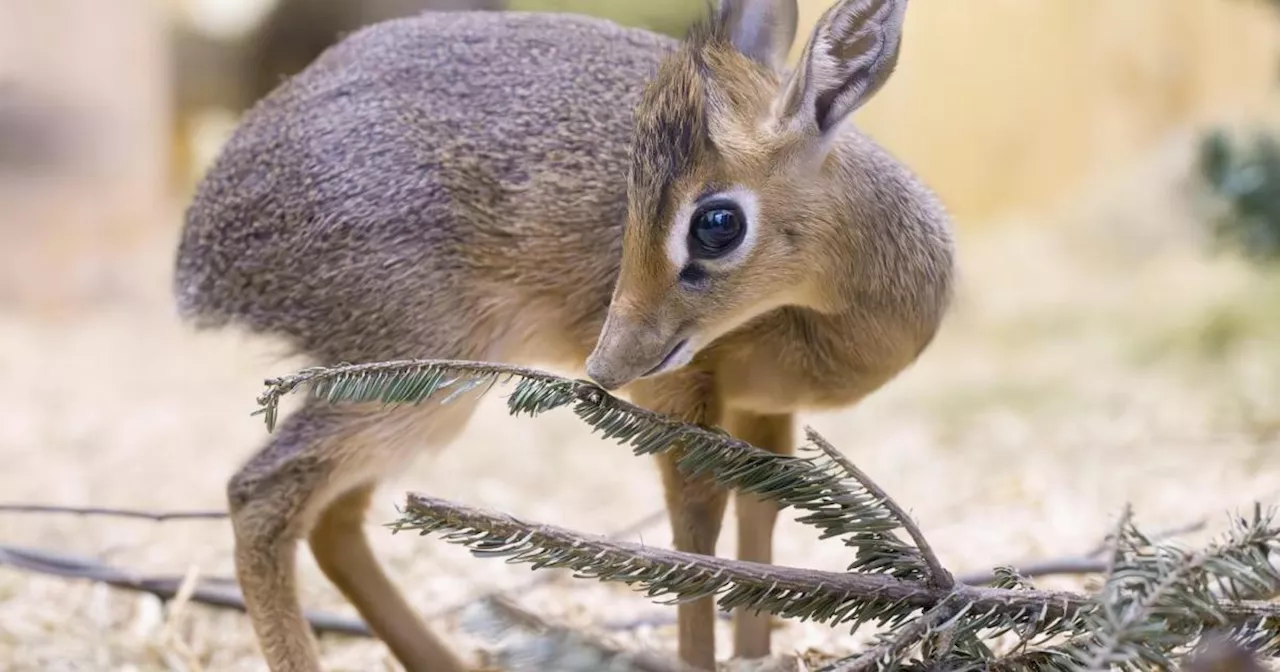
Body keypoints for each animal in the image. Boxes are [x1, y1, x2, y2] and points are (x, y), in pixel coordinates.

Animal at [172, 1, 952, 670]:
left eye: (716, 223)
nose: (606, 363)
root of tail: (201, 247)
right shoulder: (678, 399)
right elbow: (697, 531)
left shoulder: (765, 412)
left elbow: (761, 520)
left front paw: (759, 655)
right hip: (412, 382)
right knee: (261, 493)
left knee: (334, 519)